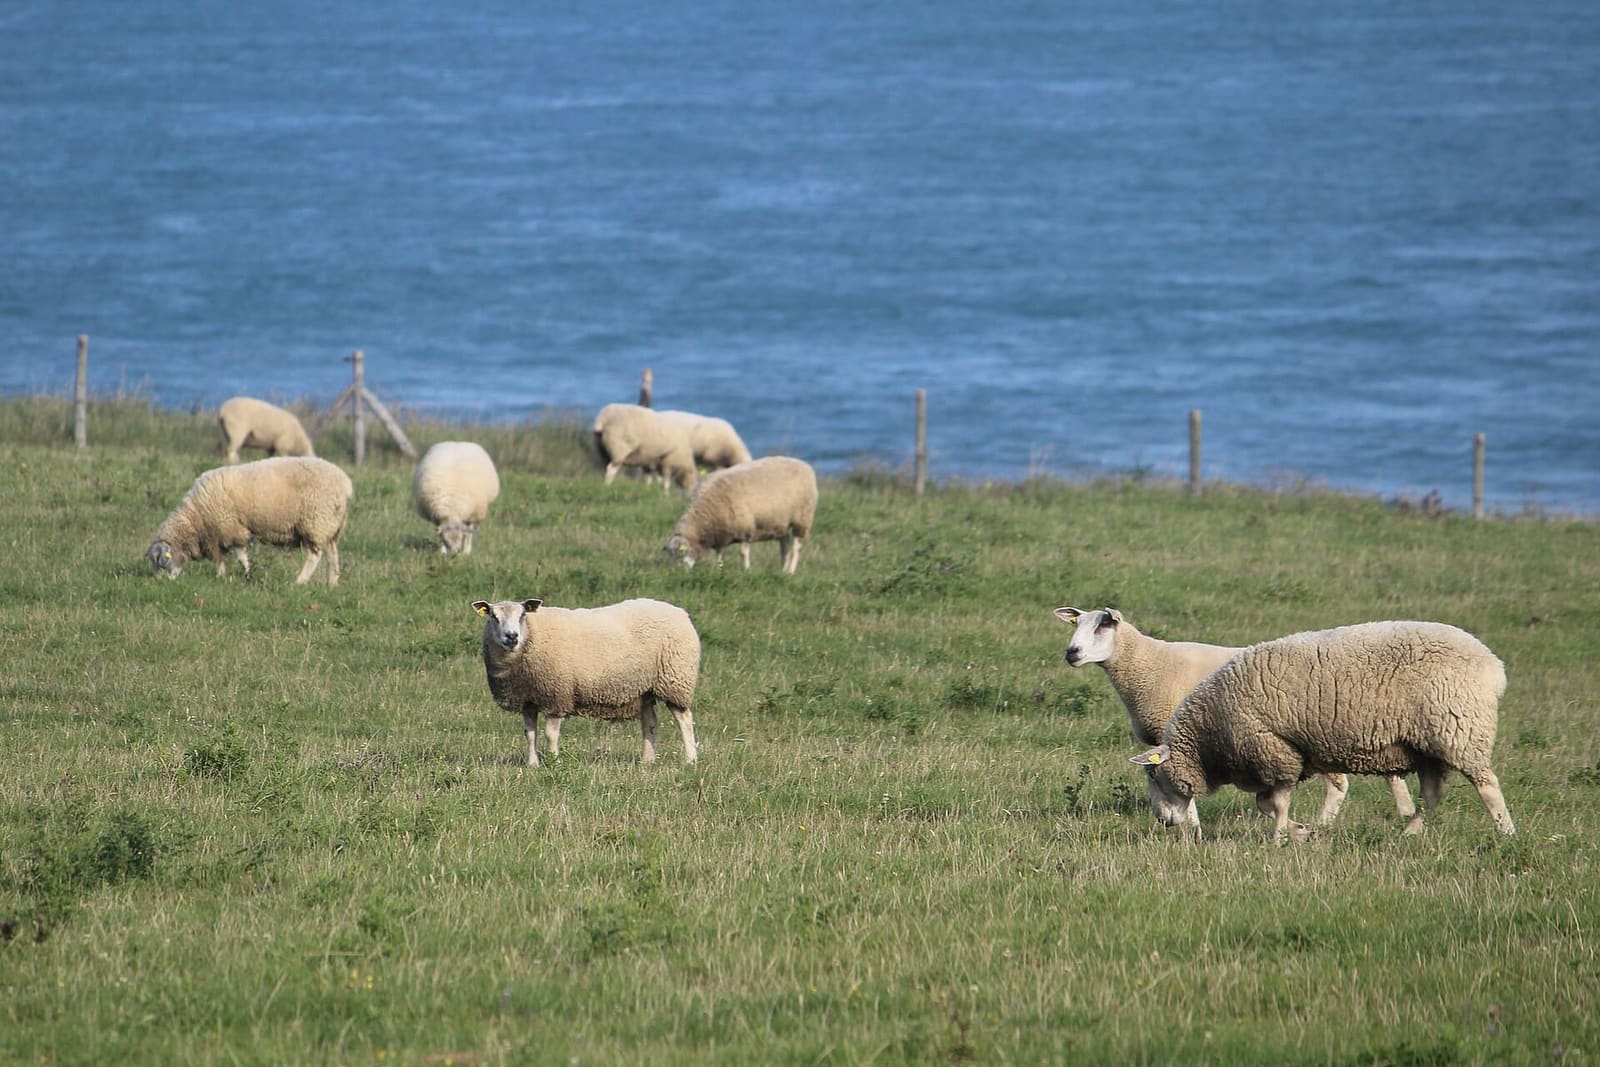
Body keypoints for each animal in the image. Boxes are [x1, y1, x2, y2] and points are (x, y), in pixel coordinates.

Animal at [145, 456, 353, 585]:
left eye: (160, 561)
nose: (158, 582)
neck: (195, 519)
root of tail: (345, 483)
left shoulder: (229, 529)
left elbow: (234, 555)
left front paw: (237, 574)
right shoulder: (221, 534)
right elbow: (228, 556)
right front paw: (235, 574)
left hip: (316, 521)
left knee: (314, 556)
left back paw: (300, 581)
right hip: (330, 527)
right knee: (333, 556)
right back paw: (332, 583)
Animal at [472, 597, 700, 767]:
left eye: (522, 615)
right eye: (494, 616)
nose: (511, 636)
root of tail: (681, 612)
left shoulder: (557, 694)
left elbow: (550, 734)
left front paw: (554, 762)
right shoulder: (528, 699)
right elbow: (530, 734)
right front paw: (533, 764)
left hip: (676, 679)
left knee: (684, 719)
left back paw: (690, 759)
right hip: (644, 688)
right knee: (650, 722)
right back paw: (648, 761)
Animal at [664, 456, 817, 574]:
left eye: (680, 554)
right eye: (669, 556)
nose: (673, 574)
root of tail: (804, 464)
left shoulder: (746, 529)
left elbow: (743, 553)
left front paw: (746, 570)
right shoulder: (721, 534)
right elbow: (720, 554)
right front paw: (719, 570)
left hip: (802, 518)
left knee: (796, 546)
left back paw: (790, 571)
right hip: (780, 523)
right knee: (785, 544)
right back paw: (783, 570)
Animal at [1055, 607, 1415, 826]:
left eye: (1103, 626)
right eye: (1077, 626)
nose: (1071, 653)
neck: (1148, 664)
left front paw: (1191, 825)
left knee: (1341, 784)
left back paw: (1323, 825)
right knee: (1391, 774)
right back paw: (1406, 812)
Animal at [1130, 620, 1515, 842]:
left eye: (1153, 775)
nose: (1163, 822)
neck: (1210, 736)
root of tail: (1493, 666)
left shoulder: (1275, 752)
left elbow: (1274, 803)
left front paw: (1282, 837)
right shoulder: (1284, 757)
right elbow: (1265, 803)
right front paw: (1301, 831)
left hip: (1459, 729)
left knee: (1487, 786)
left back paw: (1507, 832)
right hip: (1427, 748)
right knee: (1432, 796)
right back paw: (1408, 833)